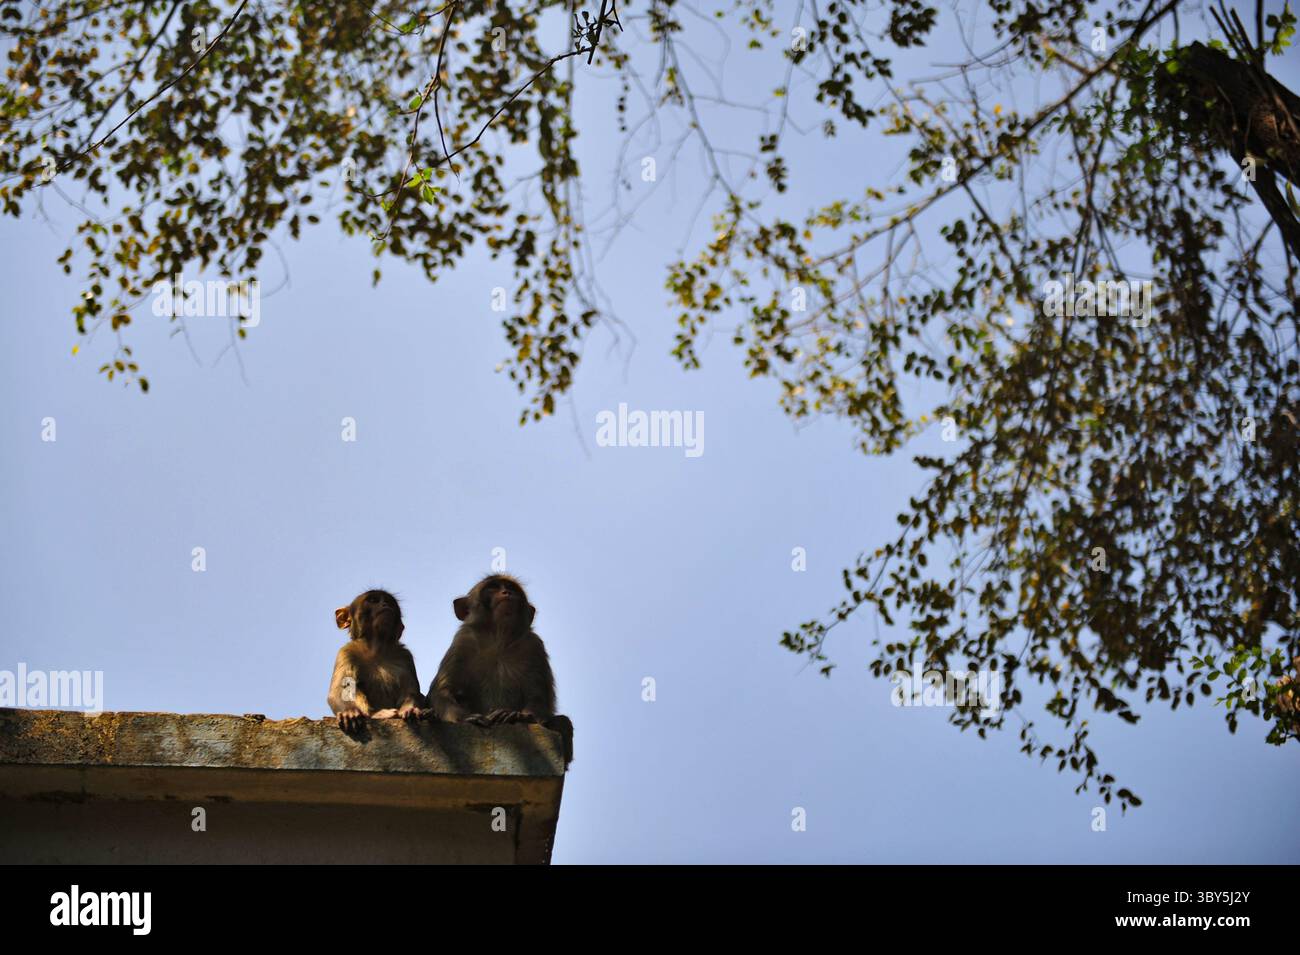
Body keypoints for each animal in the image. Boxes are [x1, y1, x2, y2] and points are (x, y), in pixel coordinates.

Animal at [327, 589, 426, 731]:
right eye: (373, 600)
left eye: (389, 602)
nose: (385, 604)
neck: (376, 649)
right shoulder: (346, 652)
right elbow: (338, 690)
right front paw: (349, 712)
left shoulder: (404, 655)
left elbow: (411, 691)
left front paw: (410, 709)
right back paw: (377, 714)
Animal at [429, 574, 573, 762]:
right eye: (493, 588)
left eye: (511, 588)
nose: (507, 593)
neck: (498, 639)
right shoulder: (462, 643)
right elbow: (442, 690)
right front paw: (466, 717)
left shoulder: (534, 646)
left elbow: (539, 695)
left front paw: (520, 716)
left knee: (563, 722)